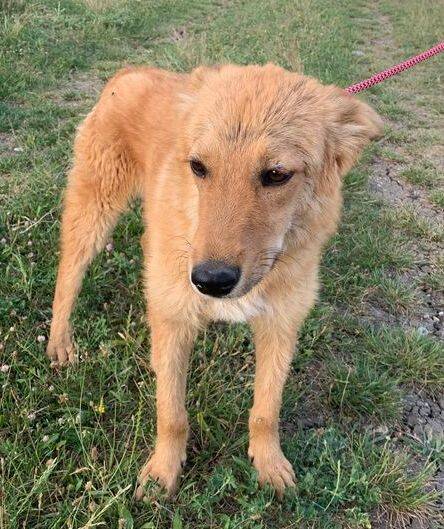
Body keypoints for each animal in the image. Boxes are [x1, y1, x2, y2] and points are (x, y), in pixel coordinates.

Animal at [46, 63, 382, 497]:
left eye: (277, 175)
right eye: (198, 167)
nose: (210, 281)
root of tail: (132, 71)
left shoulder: (280, 325)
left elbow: (266, 410)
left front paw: (268, 462)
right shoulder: (174, 319)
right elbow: (171, 413)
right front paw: (164, 470)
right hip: (94, 210)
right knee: (67, 277)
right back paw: (59, 341)